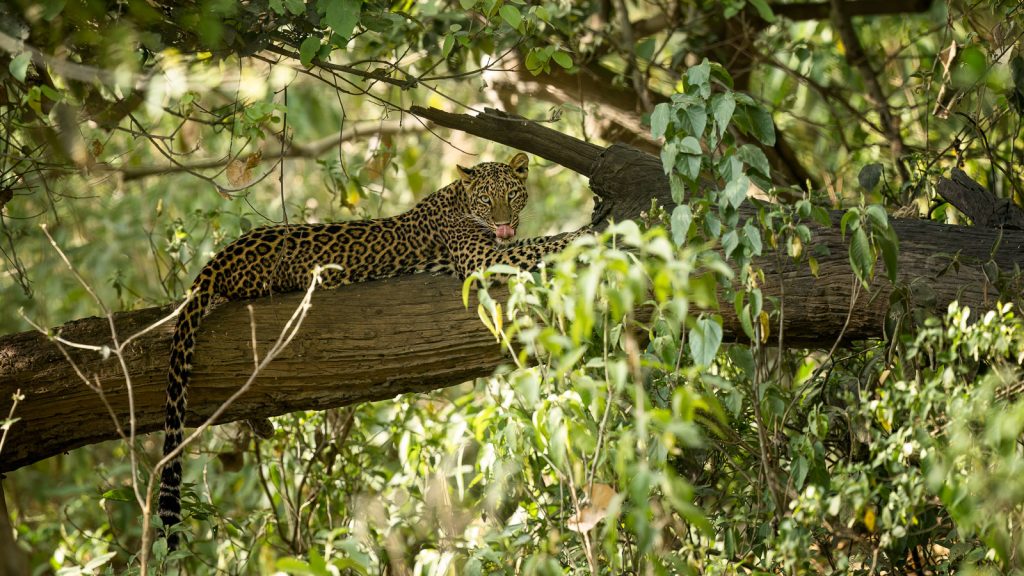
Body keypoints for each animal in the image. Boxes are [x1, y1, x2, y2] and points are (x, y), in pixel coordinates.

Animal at [160, 150, 593, 545]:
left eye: (511, 195)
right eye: (487, 200)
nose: (504, 224)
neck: (459, 199)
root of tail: (220, 256)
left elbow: (533, 241)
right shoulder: (482, 258)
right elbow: (538, 246)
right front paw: (579, 234)